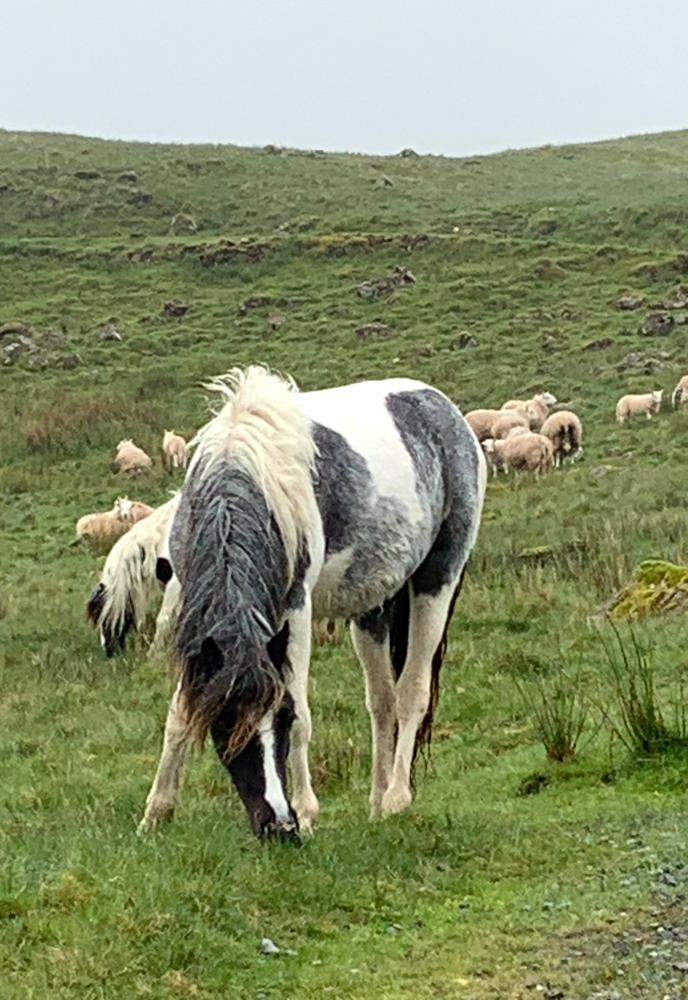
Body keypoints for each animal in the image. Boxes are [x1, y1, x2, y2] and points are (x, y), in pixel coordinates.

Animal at [113, 367, 486, 839]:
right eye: (225, 724)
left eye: (282, 722)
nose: (277, 824)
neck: (245, 474)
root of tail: (446, 411)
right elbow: (180, 712)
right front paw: (156, 812)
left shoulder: (297, 608)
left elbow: (303, 707)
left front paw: (308, 812)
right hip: (373, 606)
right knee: (381, 702)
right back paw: (377, 803)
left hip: (438, 578)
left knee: (411, 692)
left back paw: (397, 797)